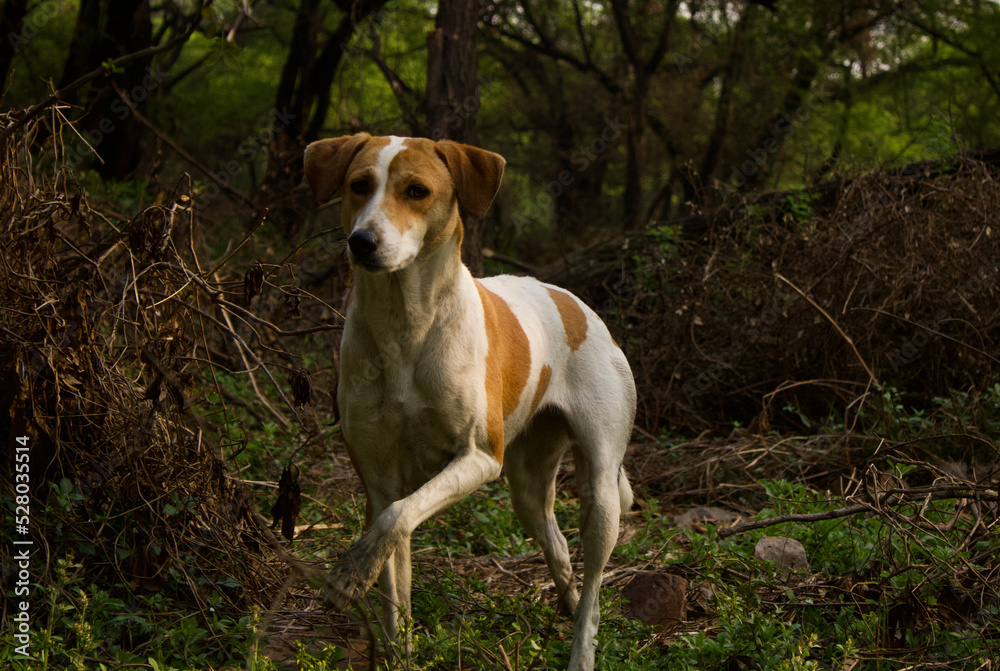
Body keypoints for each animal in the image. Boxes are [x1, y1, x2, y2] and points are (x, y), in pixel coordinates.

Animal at [302, 134, 632, 668]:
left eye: (417, 191)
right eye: (359, 185)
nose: (362, 242)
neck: (407, 326)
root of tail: (577, 303)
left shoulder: (478, 457)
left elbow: (395, 521)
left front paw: (349, 572)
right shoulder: (380, 480)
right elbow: (393, 554)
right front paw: (395, 644)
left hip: (601, 487)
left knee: (596, 578)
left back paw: (582, 646)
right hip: (527, 487)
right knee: (558, 542)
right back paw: (566, 599)